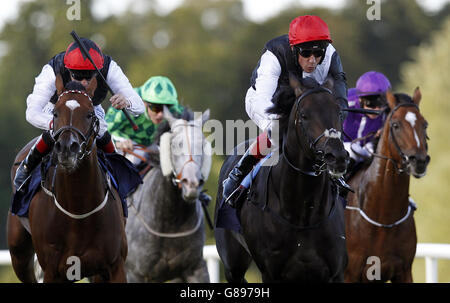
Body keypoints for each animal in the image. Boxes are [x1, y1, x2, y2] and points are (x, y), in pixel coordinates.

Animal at [7, 75, 127, 282]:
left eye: (89, 114)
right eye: (55, 113)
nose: (66, 148)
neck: (78, 209)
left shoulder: (115, 267)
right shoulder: (52, 271)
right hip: (19, 253)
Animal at [216, 75, 350, 282]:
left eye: (339, 112)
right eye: (304, 115)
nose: (337, 157)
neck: (304, 214)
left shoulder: (334, 273)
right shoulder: (271, 273)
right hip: (232, 265)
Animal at [344, 89, 432, 284]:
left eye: (425, 125)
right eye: (396, 125)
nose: (419, 161)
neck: (384, 218)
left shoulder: (404, 271)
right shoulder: (350, 273)